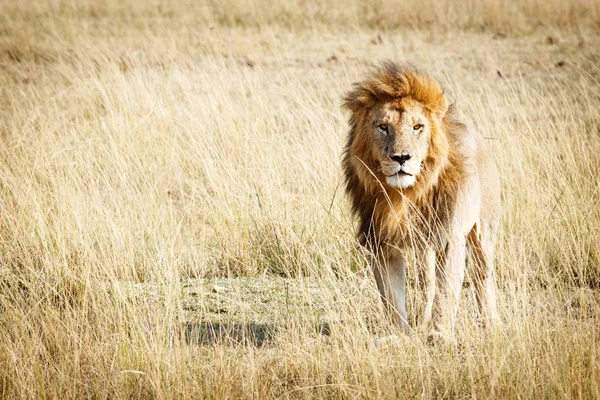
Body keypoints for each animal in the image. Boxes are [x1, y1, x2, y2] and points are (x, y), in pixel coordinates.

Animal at [342, 62, 502, 338]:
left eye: (418, 127)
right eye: (383, 127)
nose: (401, 157)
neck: (404, 195)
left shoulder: (449, 238)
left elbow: (446, 292)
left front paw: (439, 335)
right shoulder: (380, 242)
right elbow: (392, 296)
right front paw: (399, 334)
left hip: (483, 230)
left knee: (483, 276)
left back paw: (490, 324)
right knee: (427, 281)